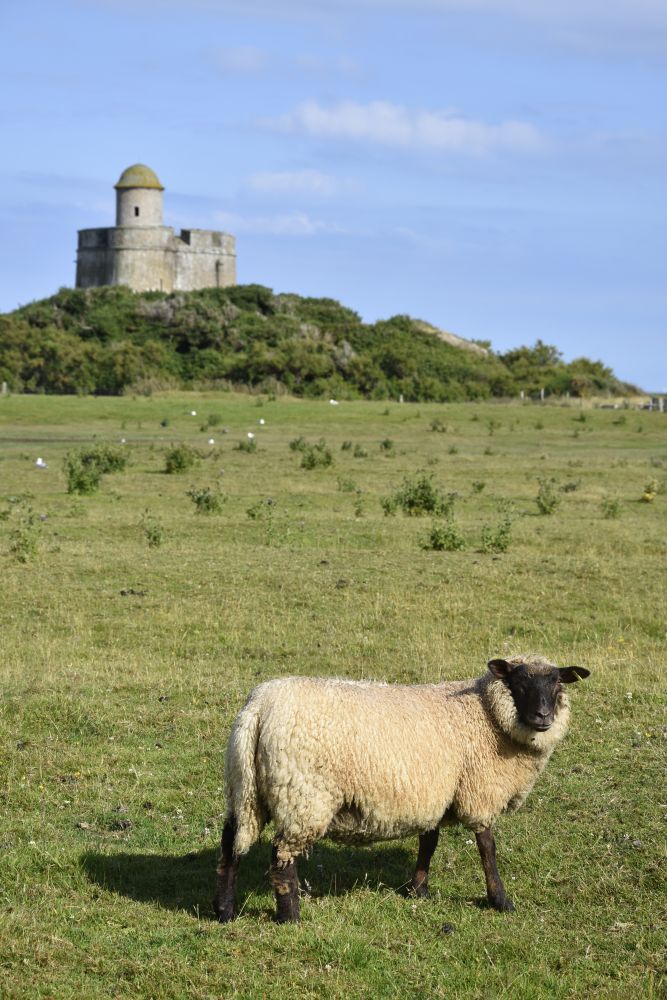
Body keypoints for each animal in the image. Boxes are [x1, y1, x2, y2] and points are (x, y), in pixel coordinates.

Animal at [213, 655, 590, 923]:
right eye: (520, 681)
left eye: (557, 683)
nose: (544, 717)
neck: (485, 714)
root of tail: (257, 708)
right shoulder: (479, 793)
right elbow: (487, 848)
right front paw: (500, 900)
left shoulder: (433, 794)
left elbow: (429, 842)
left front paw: (418, 889)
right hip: (303, 796)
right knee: (281, 856)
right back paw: (290, 916)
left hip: (244, 788)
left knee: (231, 843)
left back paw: (224, 911)